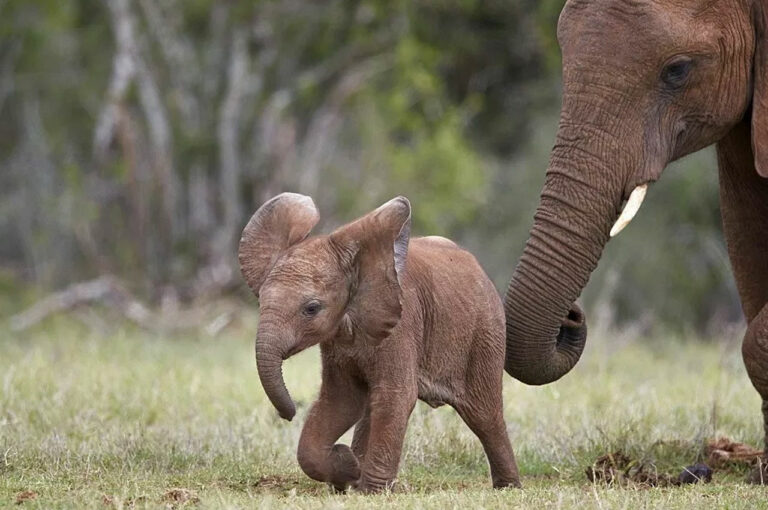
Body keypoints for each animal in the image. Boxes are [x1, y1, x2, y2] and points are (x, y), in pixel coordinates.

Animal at [239, 193, 523, 492]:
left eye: (312, 308)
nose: (290, 414)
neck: (361, 266)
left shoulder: (400, 328)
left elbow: (395, 396)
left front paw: (369, 490)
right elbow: (341, 400)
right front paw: (348, 470)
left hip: (485, 333)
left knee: (484, 414)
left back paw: (508, 487)